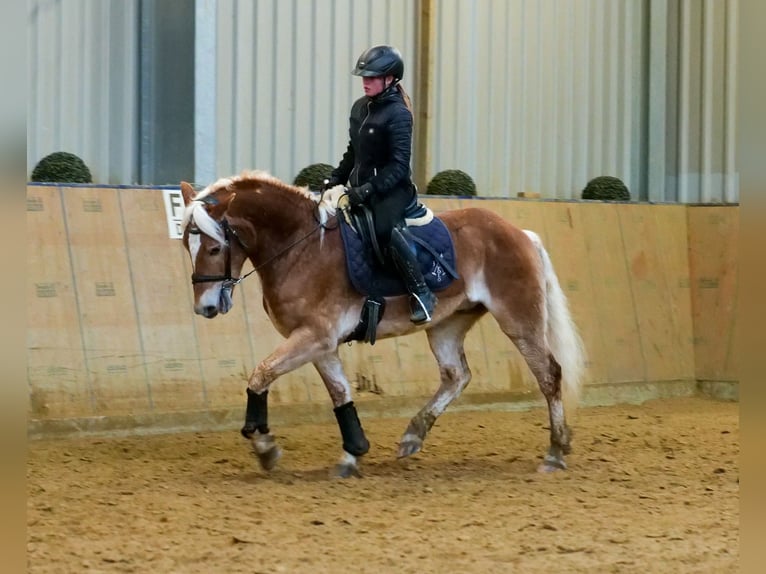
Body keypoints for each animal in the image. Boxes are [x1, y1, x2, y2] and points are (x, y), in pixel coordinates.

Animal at [180, 171, 588, 482]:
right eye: (187, 245)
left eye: (214, 248)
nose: (206, 307)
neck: (301, 249)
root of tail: (520, 233)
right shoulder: (320, 343)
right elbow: (340, 394)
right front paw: (352, 454)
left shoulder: (313, 337)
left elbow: (261, 374)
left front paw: (265, 448)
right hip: (447, 324)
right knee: (456, 375)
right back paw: (412, 437)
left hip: (518, 319)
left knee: (549, 374)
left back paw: (555, 452)